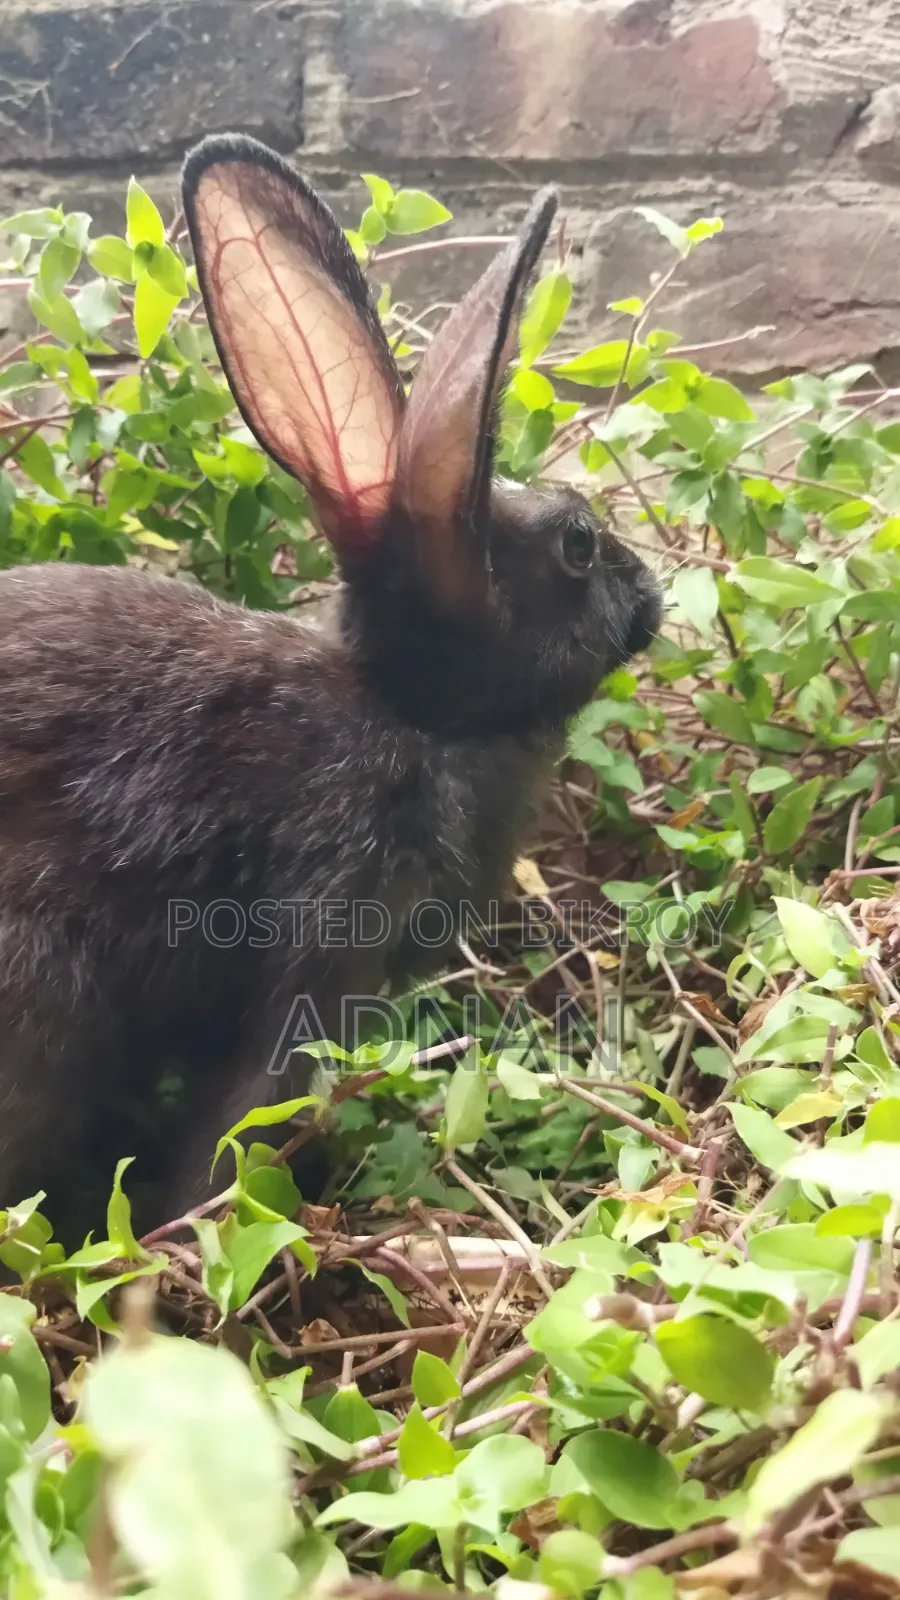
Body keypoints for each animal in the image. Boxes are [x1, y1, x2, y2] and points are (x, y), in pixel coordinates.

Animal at [0, 136, 661, 1240]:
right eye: (576, 544)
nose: (649, 593)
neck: (407, 713)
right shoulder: (331, 921)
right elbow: (247, 1114)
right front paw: (204, 1231)